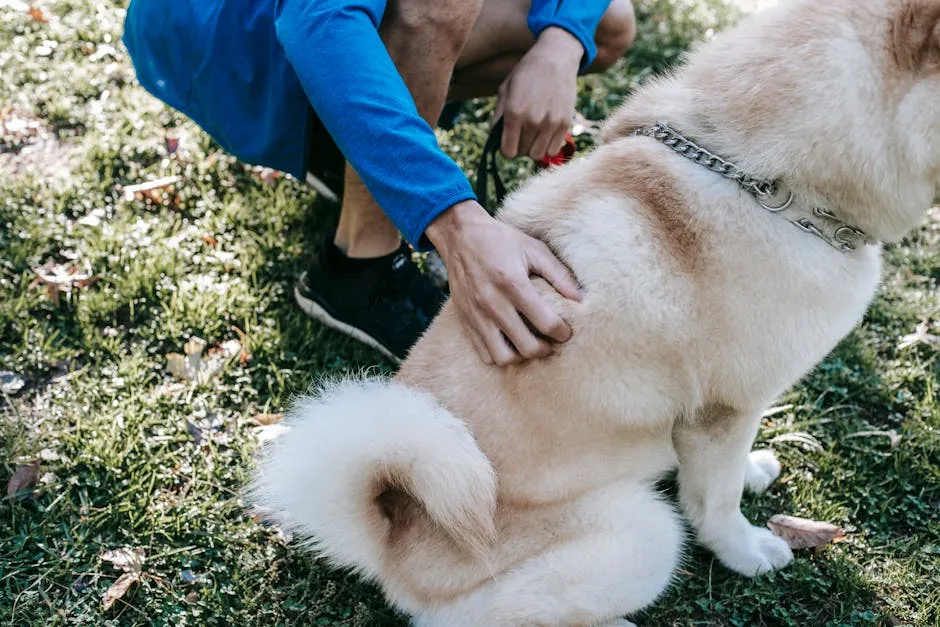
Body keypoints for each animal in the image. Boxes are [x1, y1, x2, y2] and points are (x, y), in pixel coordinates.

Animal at [248, 2, 940, 624]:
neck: (765, 182)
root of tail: (393, 535)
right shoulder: (723, 410)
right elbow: (714, 504)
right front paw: (747, 551)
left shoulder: (728, 417)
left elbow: (729, 471)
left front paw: (753, 471)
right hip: (644, 535)